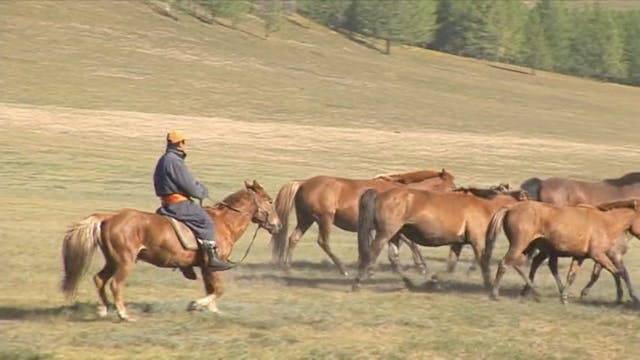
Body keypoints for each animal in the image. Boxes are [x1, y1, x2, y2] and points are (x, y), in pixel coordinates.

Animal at [60, 180, 280, 320]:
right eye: (270, 200)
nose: (277, 225)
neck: (224, 223)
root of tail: (109, 217)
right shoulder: (213, 264)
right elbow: (218, 289)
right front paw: (197, 305)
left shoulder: (204, 267)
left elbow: (212, 288)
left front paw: (212, 310)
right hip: (124, 262)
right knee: (115, 284)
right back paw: (123, 314)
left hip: (112, 260)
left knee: (100, 279)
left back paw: (104, 310)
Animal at [270, 169, 456, 276]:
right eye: (452, 186)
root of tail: (304, 183)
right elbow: (411, 244)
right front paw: (421, 266)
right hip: (324, 219)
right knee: (323, 242)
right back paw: (343, 270)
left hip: (306, 219)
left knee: (293, 238)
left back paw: (287, 266)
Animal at [352, 184, 528, 292]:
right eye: (526, 199)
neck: (484, 206)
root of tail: (379, 194)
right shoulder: (477, 241)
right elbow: (483, 262)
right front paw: (489, 285)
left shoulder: (458, 243)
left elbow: (450, 265)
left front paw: (434, 280)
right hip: (386, 233)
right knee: (371, 254)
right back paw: (357, 283)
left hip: (395, 235)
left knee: (393, 258)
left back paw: (410, 282)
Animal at [484, 198, 640, 306]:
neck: (605, 223)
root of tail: (511, 208)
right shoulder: (598, 255)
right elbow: (618, 273)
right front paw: (622, 297)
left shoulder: (579, 257)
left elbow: (571, 276)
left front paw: (564, 297)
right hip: (520, 245)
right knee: (505, 263)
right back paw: (496, 294)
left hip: (528, 248)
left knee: (522, 265)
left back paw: (532, 291)